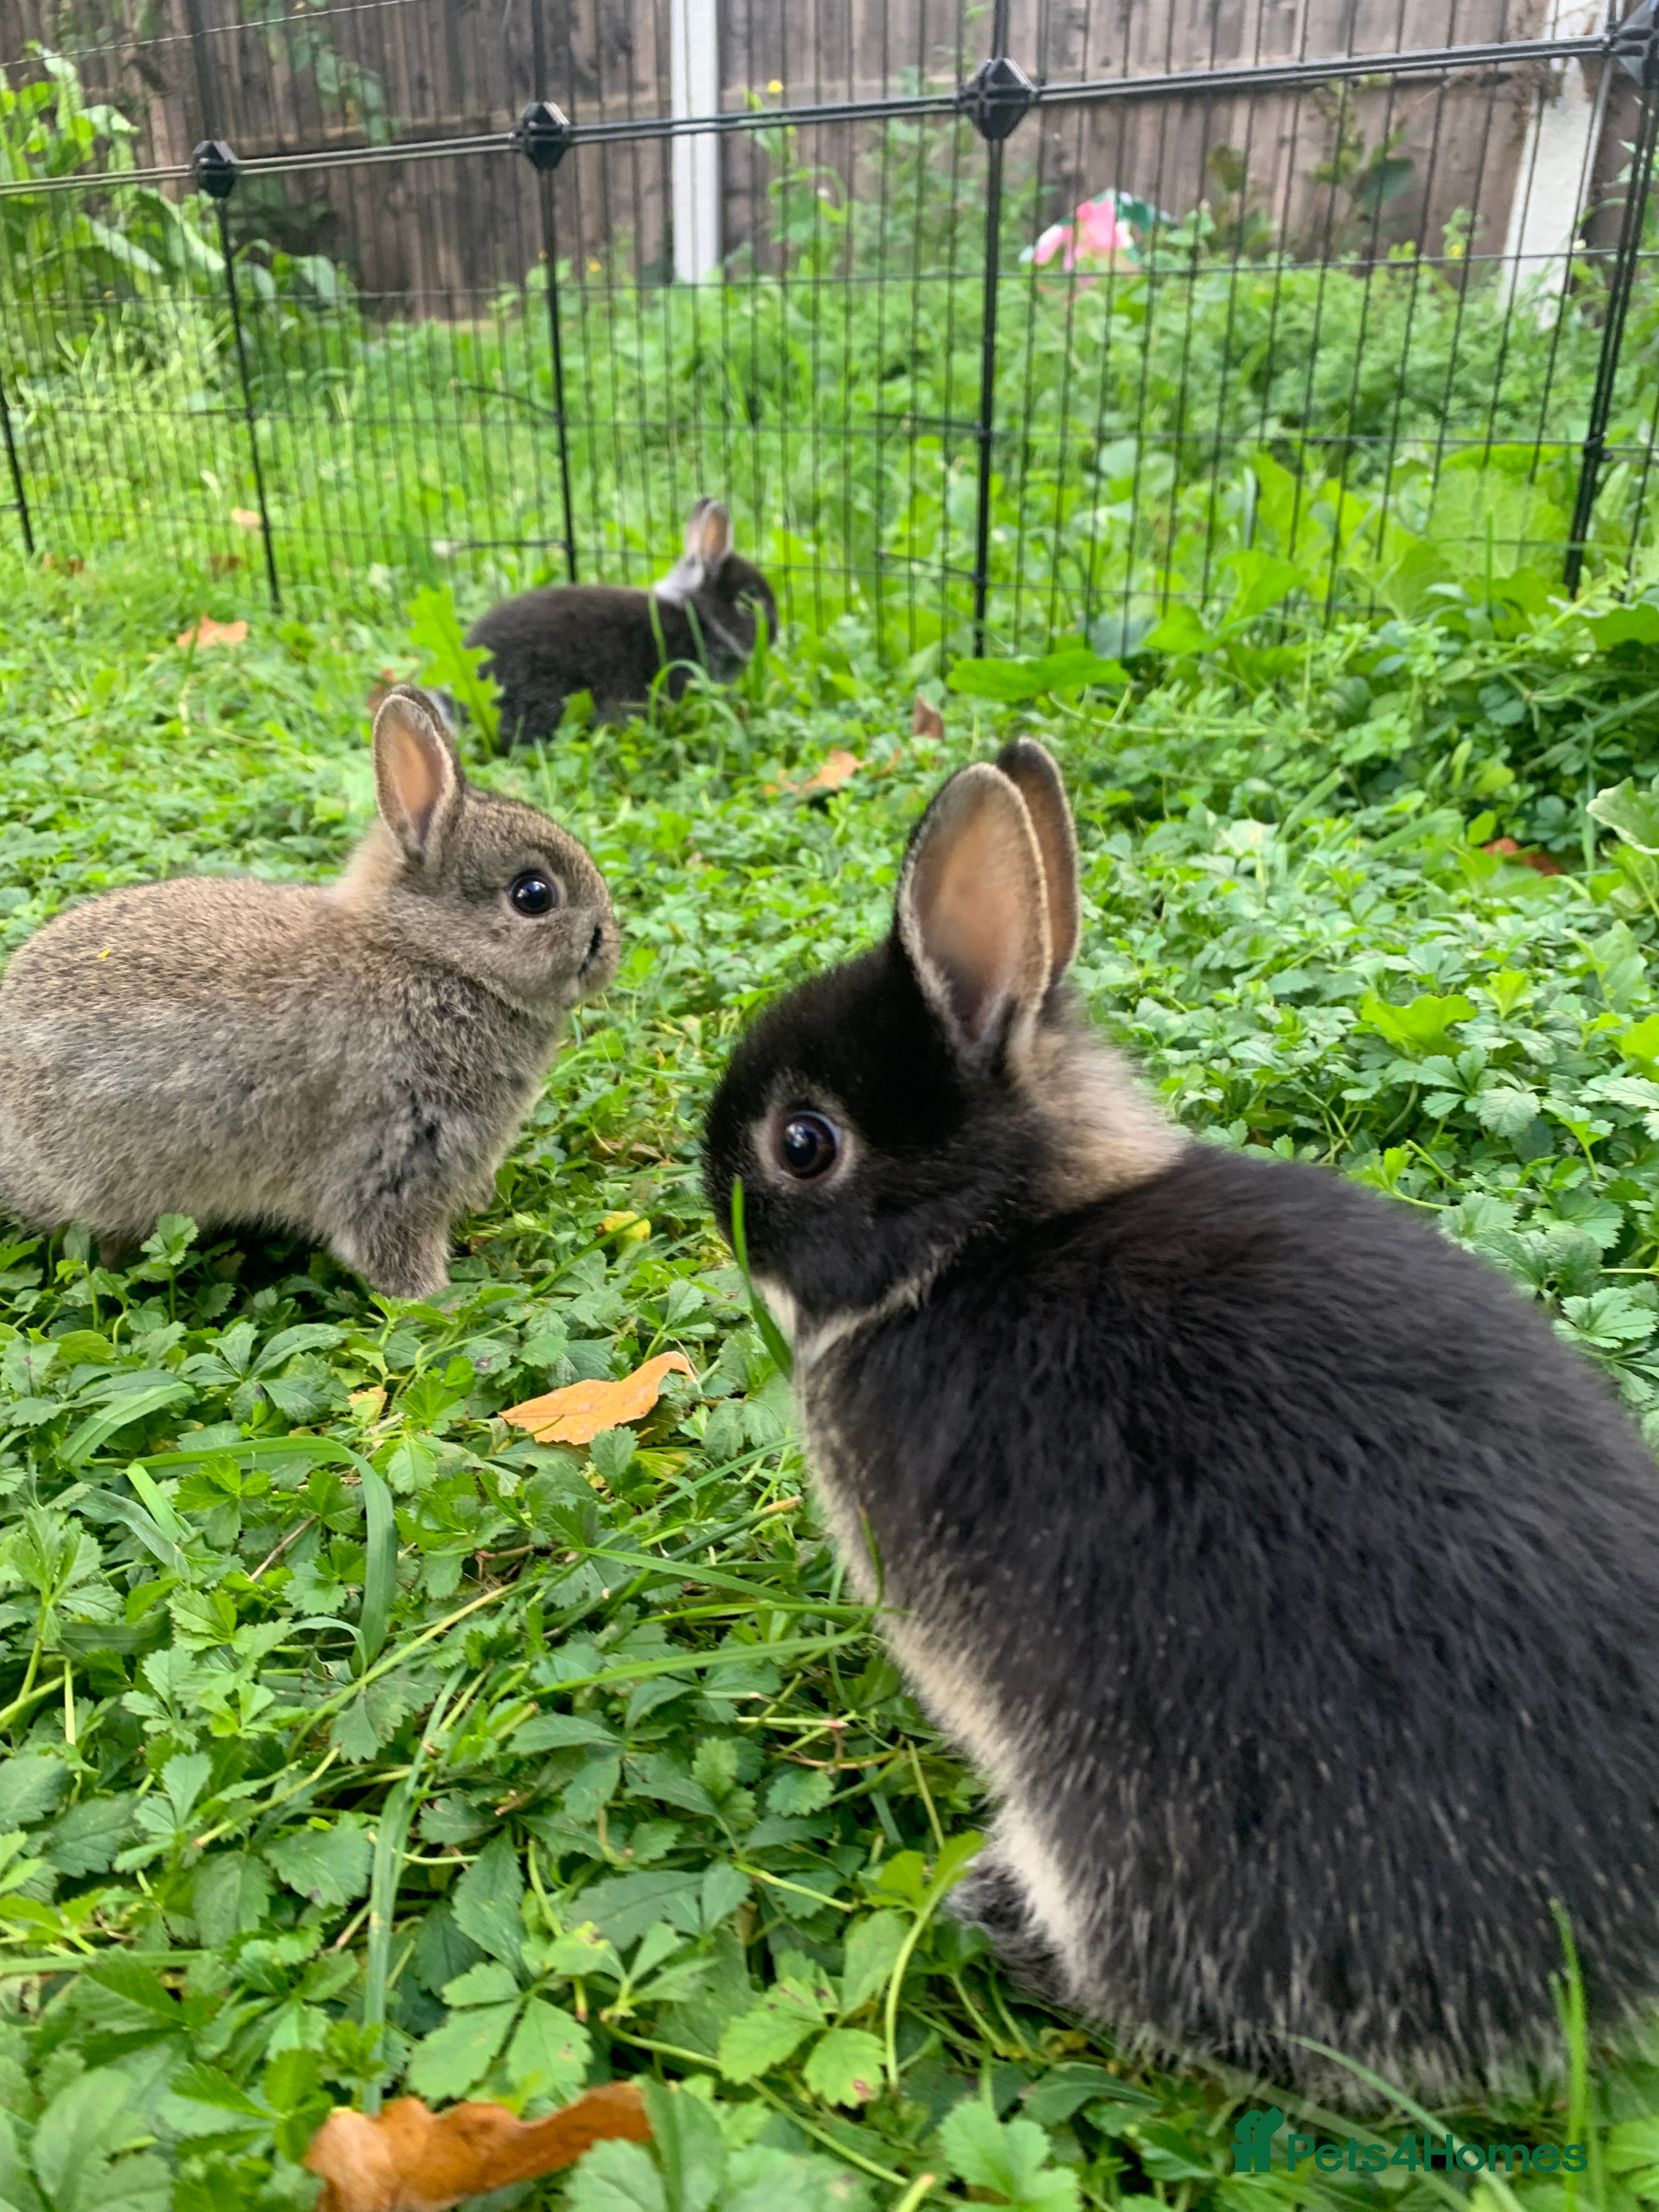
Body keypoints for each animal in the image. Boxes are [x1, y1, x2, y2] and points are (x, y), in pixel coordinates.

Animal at [0, 686, 618, 1301]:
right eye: (534, 895)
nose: (608, 950)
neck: (432, 955)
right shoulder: (392, 1152)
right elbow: (389, 1245)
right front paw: (437, 1300)